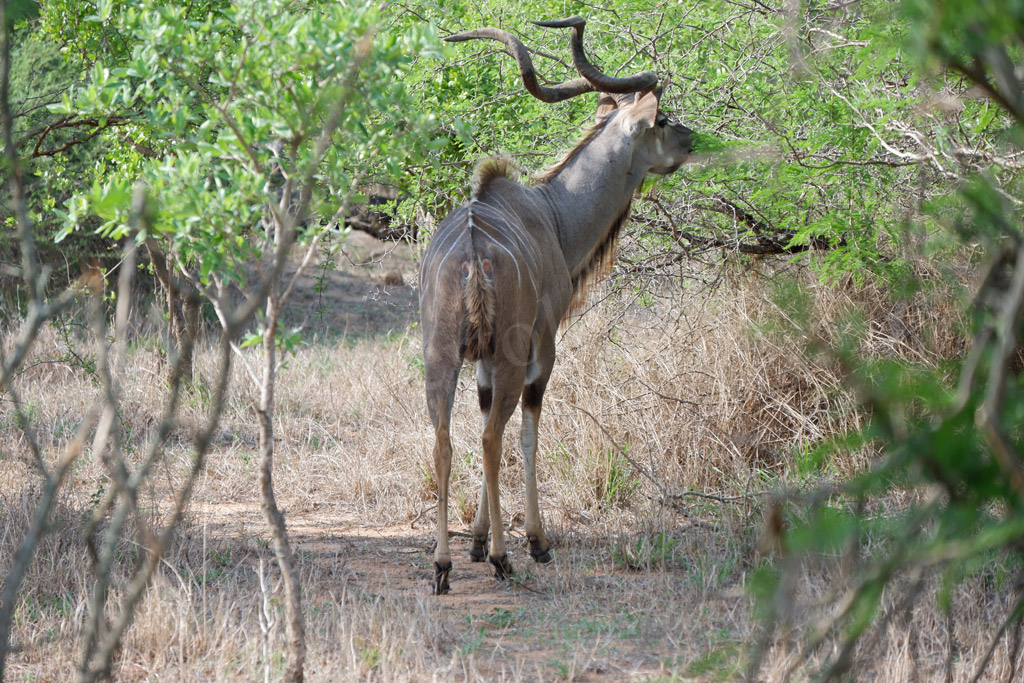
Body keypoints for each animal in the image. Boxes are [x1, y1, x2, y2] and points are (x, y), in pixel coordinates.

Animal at [417, 14, 696, 593]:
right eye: (662, 120)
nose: (693, 138)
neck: (551, 214)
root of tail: (473, 251)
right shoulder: (541, 350)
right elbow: (527, 435)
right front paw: (535, 542)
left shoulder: (481, 364)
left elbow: (478, 426)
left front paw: (476, 540)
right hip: (508, 355)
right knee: (493, 439)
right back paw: (505, 558)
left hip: (441, 356)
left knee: (445, 441)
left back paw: (443, 565)